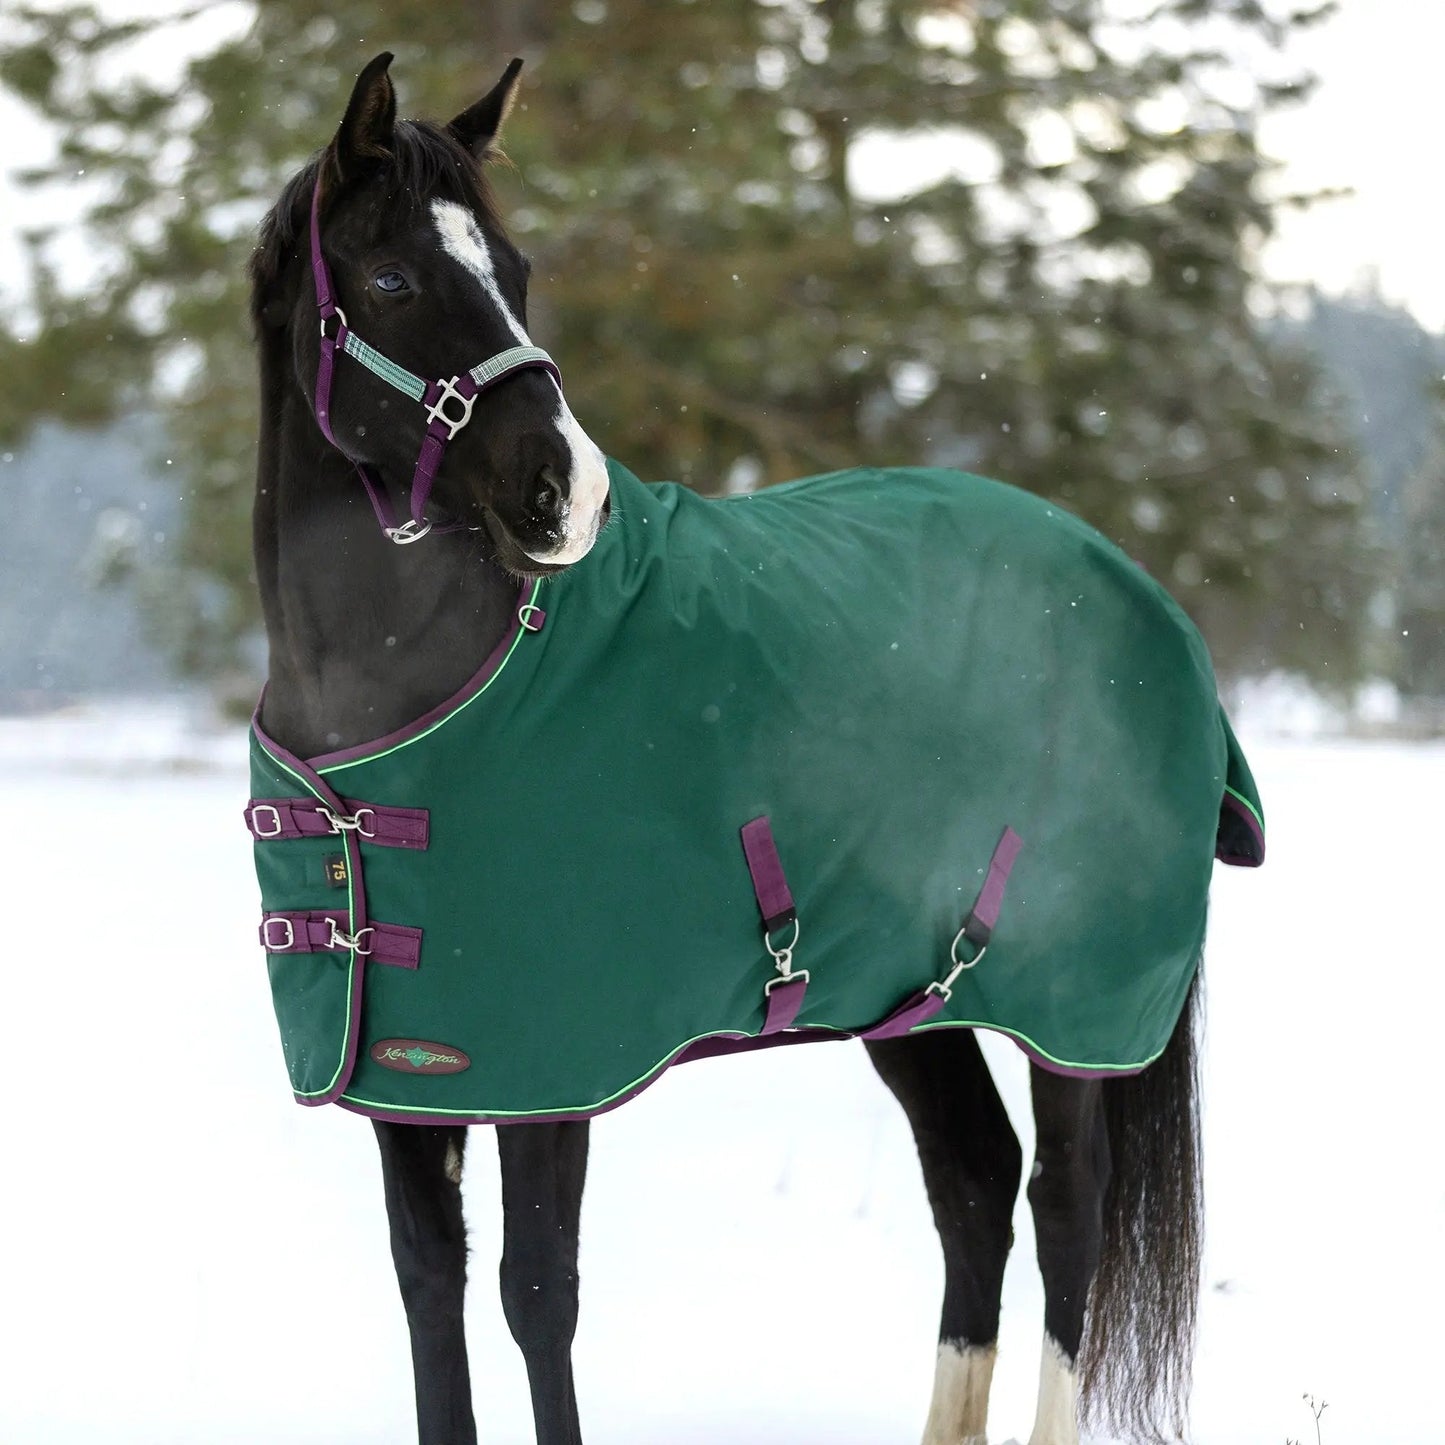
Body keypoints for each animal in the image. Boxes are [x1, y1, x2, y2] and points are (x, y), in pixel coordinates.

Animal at [247, 52, 1254, 1445]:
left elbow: (536, 1293)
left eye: (515, 270)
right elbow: (429, 1286)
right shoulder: (413, 1083)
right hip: (914, 997)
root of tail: (1139, 591)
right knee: (973, 1180)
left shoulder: (550, 1073)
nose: (565, 491)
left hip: (1071, 1005)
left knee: (1066, 1204)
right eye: (393, 281)